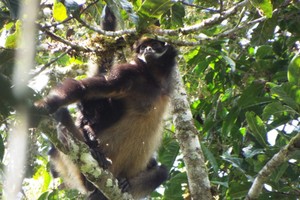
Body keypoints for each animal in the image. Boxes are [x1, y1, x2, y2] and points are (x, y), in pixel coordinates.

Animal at [37, 5, 178, 199]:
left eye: (154, 45)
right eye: (142, 48)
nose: (147, 50)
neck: (153, 80)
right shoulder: (129, 74)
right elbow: (84, 89)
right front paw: (46, 105)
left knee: (162, 172)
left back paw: (122, 184)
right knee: (64, 115)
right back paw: (94, 160)